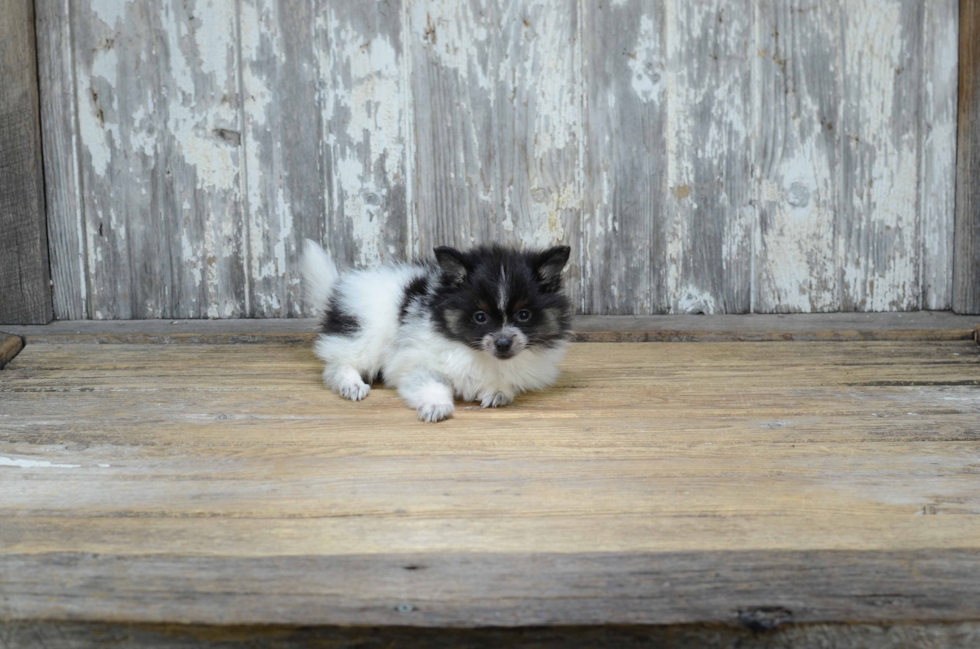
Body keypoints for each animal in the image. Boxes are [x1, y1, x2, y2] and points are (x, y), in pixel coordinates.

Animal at [302, 240, 572, 422]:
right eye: (480, 317)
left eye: (523, 315)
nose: (503, 343)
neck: (475, 352)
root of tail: (335, 292)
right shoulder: (416, 361)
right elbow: (431, 382)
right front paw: (436, 406)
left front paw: (497, 392)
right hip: (364, 334)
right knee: (338, 365)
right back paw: (352, 385)